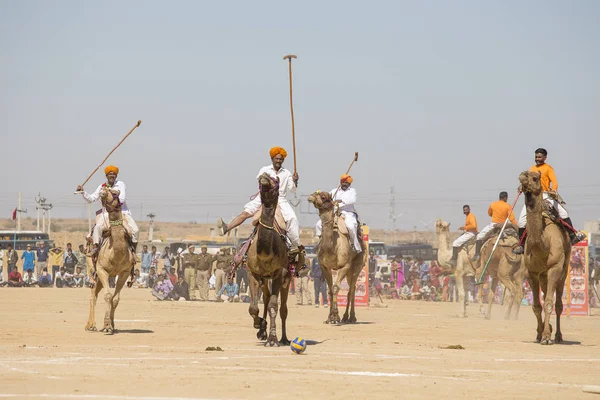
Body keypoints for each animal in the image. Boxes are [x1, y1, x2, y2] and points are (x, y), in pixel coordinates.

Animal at [84, 188, 135, 334]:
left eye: (115, 193)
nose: (102, 191)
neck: (116, 254)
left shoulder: (124, 272)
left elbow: (115, 299)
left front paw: (112, 325)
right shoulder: (102, 270)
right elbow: (107, 296)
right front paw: (106, 326)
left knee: (96, 294)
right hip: (92, 270)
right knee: (92, 296)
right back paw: (90, 325)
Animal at [244, 173, 290, 346]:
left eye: (276, 180)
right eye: (260, 180)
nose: (264, 177)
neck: (265, 253)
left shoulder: (279, 273)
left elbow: (273, 306)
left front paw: (273, 339)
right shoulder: (252, 273)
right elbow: (253, 308)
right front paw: (259, 325)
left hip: (287, 278)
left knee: (283, 309)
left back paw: (284, 339)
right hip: (264, 279)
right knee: (266, 296)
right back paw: (262, 330)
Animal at [310, 191, 366, 324]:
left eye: (324, 196)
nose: (311, 196)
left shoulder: (345, 266)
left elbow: (336, 288)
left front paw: (335, 317)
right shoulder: (324, 266)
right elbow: (330, 290)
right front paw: (329, 318)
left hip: (357, 266)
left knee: (352, 290)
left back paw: (350, 317)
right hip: (349, 270)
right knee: (350, 289)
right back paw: (346, 317)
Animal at [516, 170, 568, 344]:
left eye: (535, 178)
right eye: (523, 175)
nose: (523, 176)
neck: (543, 246)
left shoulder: (555, 268)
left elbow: (549, 303)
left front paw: (546, 337)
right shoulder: (531, 272)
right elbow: (537, 306)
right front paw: (540, 334)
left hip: (563, 271)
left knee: (558, 304)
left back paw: (558, 335)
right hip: (543, 275)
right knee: (545, 294)